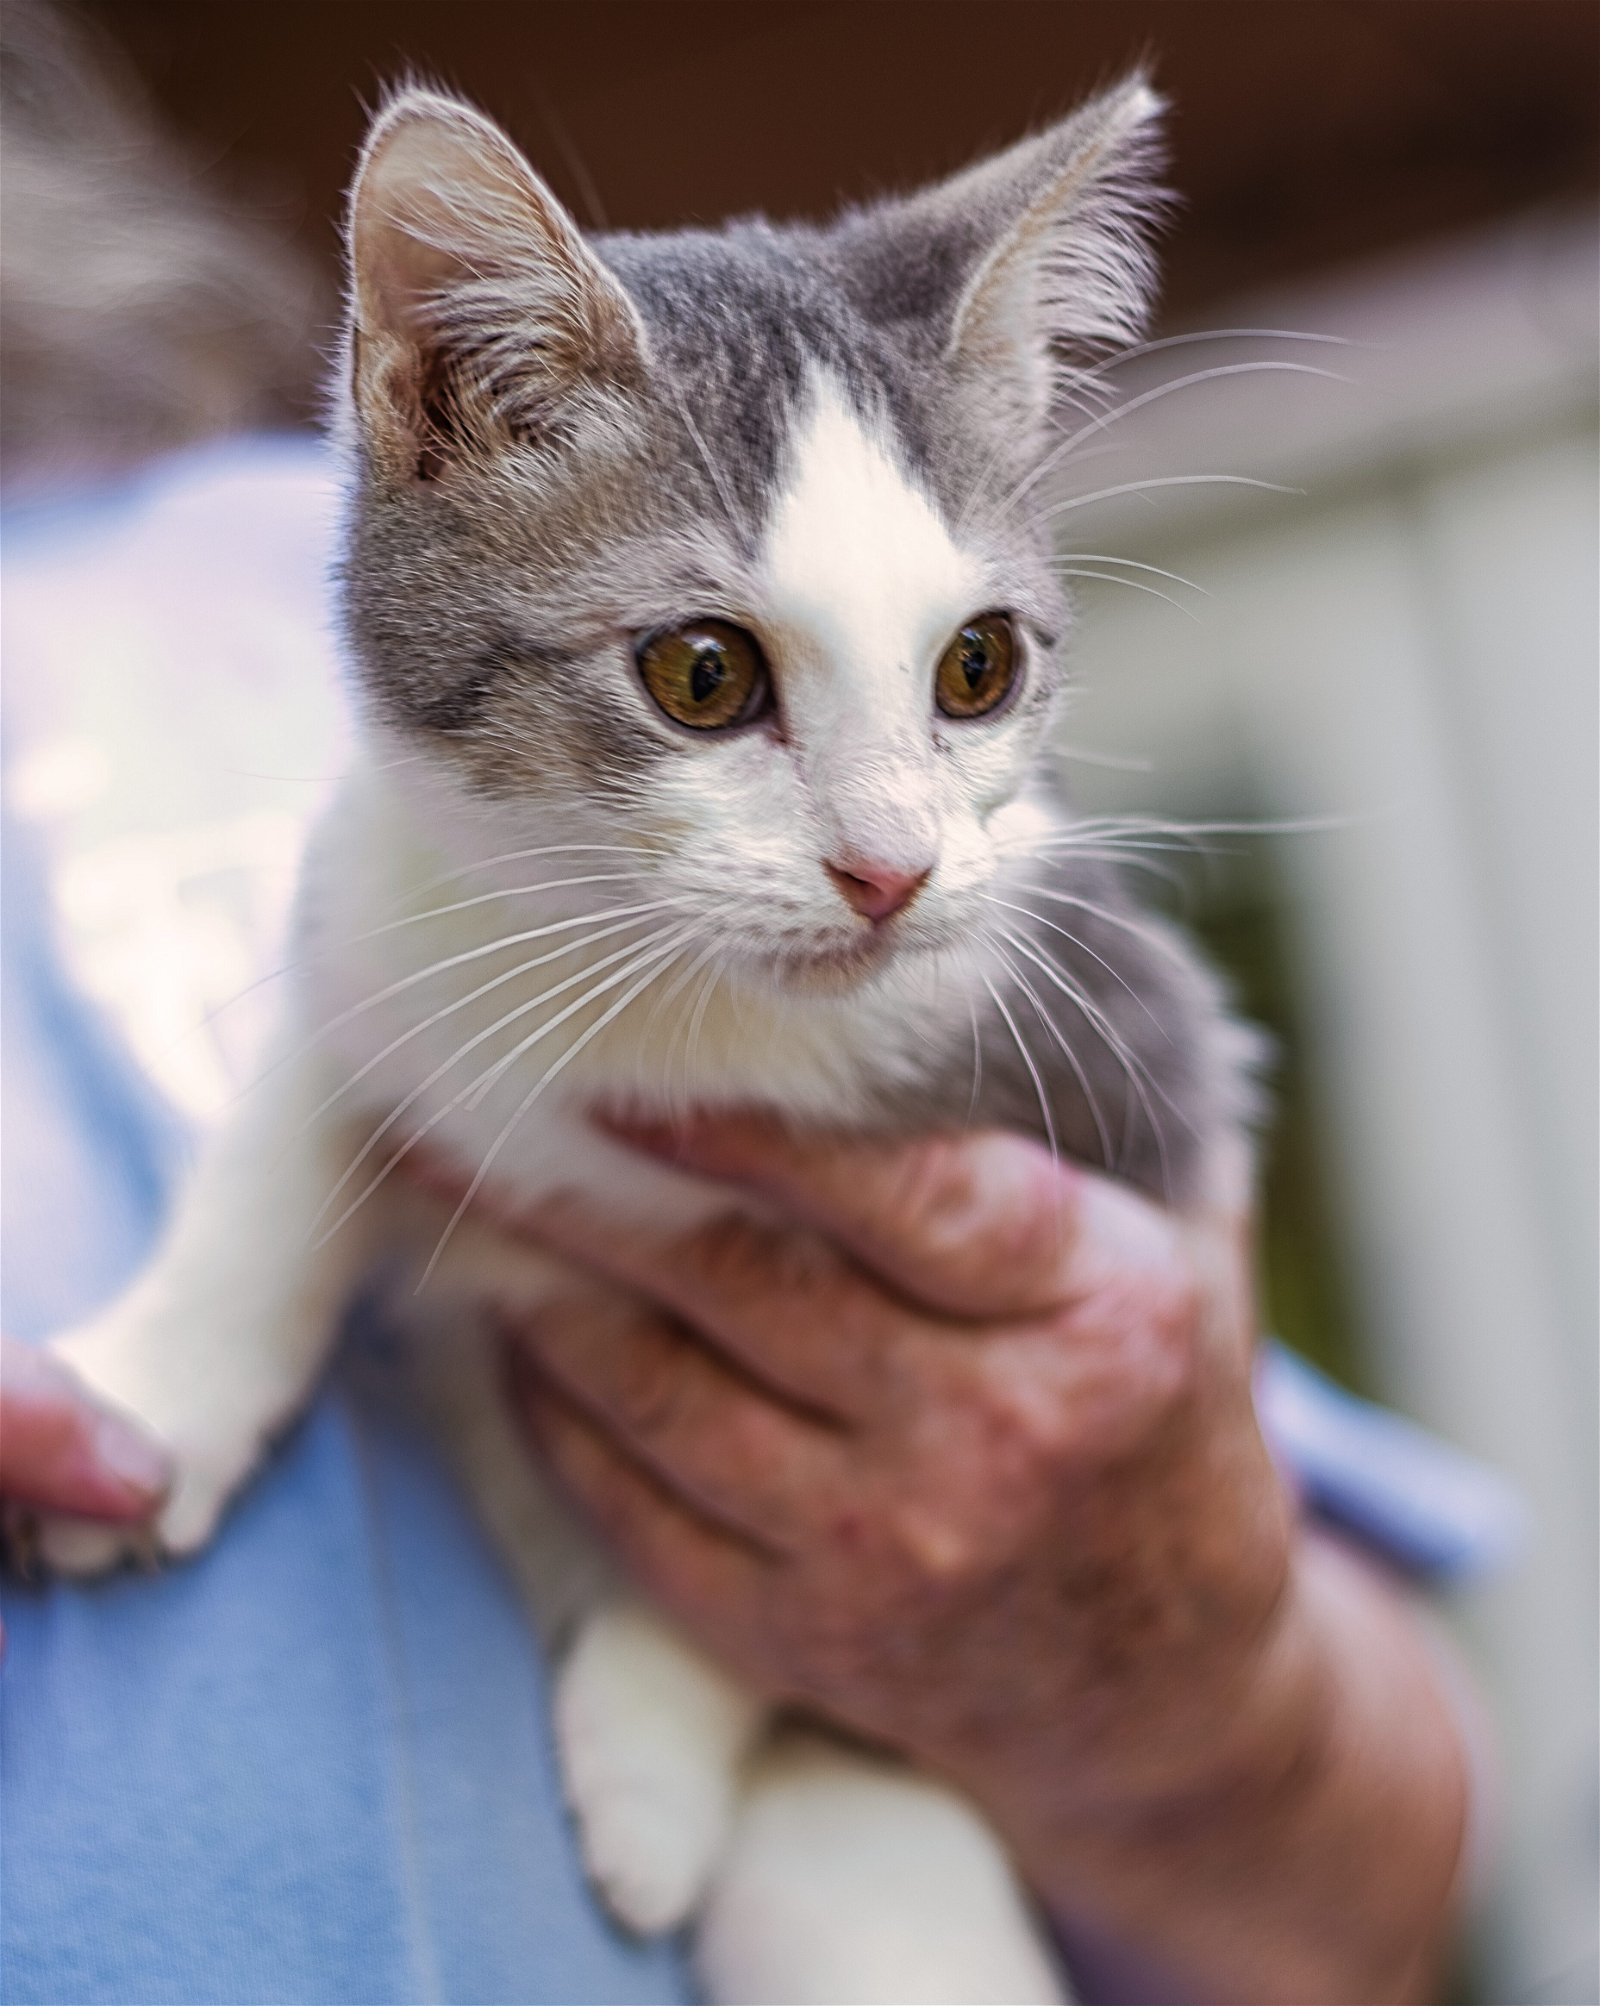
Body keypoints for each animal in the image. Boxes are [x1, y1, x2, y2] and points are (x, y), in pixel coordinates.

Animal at [37, 78, 1259, 2006]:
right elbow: (299, 1119)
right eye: (703, 675)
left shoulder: (1132, 1058)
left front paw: (653, 1753)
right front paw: (158, 1389)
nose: (893, 870)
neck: (642, 989)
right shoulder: (377, 910)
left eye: (978, 668)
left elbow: (814, 1552)